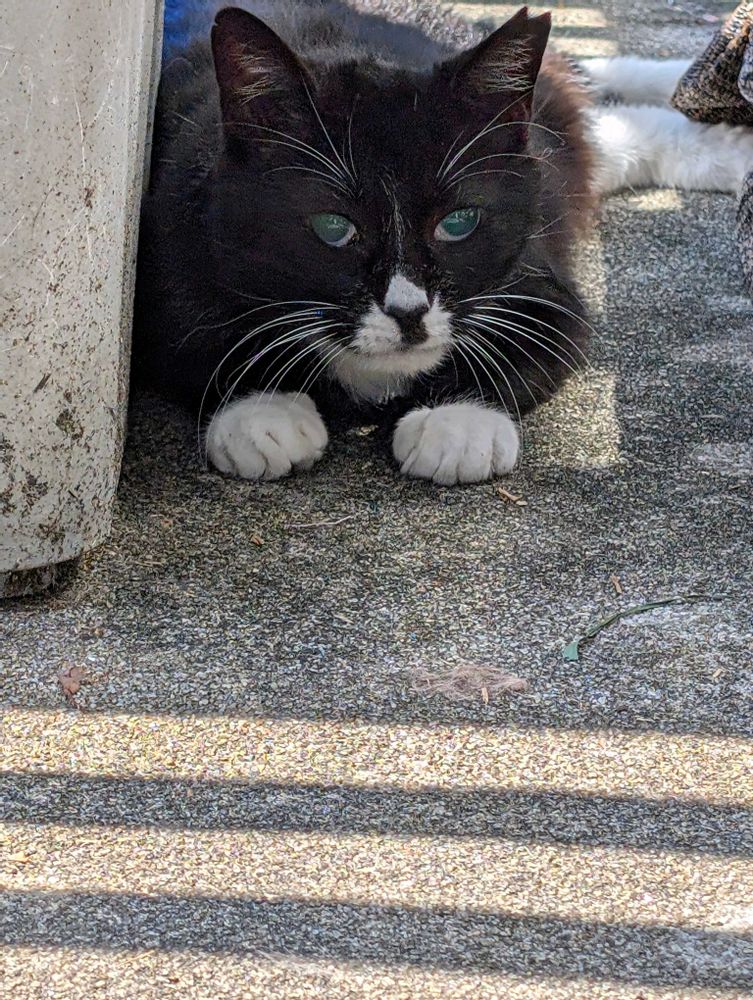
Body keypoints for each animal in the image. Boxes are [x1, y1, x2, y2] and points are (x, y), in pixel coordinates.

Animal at [133, 2, 753, 485]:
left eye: (458, 222)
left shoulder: (540, 263)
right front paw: (263, 413)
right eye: (333, 228)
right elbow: (192, 344)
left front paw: (457, 421)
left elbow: (545, 338)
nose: (409, 312)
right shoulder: (172, 236)